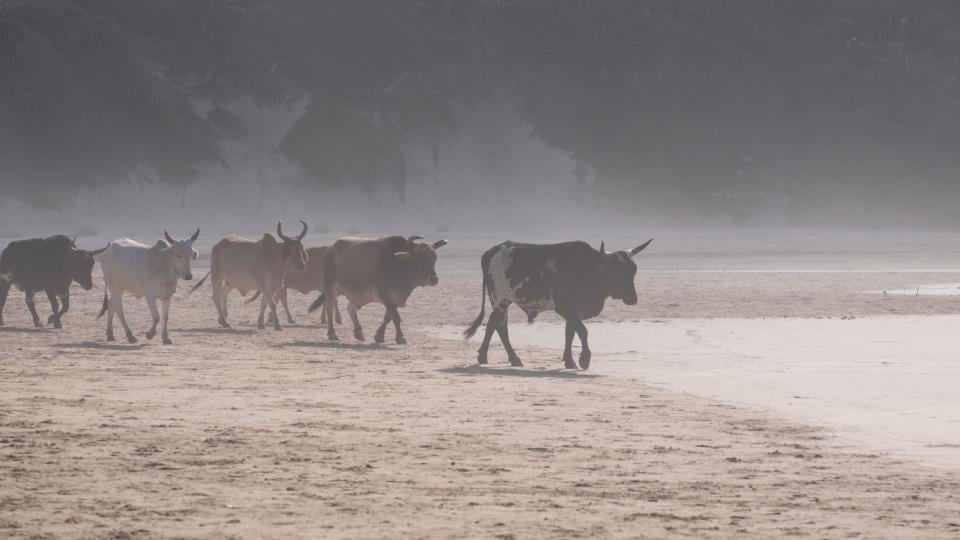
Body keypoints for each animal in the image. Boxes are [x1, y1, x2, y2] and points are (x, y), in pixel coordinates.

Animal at [308, 234, 446, 344]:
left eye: (434, 257)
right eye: (419, 257)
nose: (433, 279)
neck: (397, 263)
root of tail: (331, 248)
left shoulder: (394, 298)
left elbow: (388, 317)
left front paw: (379, 336)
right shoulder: (386, 295)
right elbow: (396, 317)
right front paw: (400, 337)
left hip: (353, 293)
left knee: (350, 308)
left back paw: (358, 331)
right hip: (331, 286)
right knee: (329, 308)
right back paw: (332, 334)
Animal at [464, 238, 652, 370]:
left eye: (633, 270)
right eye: (617, 271)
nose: (633, 299)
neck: (588, 268)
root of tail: (493, 250)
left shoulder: (574, 312)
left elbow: (570, 333)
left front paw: (569, 360)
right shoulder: (565, 308)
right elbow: (583, 331)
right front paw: (584, 359)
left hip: (503, 301)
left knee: (495, 324)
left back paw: (491, 357)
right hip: (499, 299)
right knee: (499, 326)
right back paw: (509, 358)